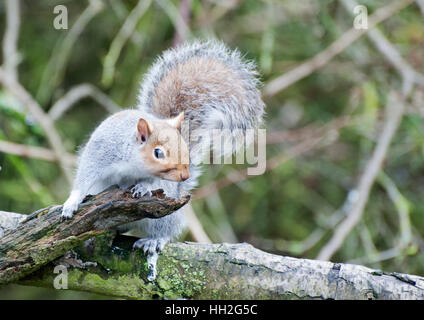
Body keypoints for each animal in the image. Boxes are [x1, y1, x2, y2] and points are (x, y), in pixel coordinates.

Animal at [62, 40, 264, 264]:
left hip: (163, 216)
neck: (131, 162)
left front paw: (143, 187)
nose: (185, 175)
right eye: (158, 153)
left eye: (185, 147)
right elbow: (84, 177)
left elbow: (153, 183)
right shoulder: (99, 152)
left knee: (166, 230)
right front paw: (71, 203)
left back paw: (154, 240)